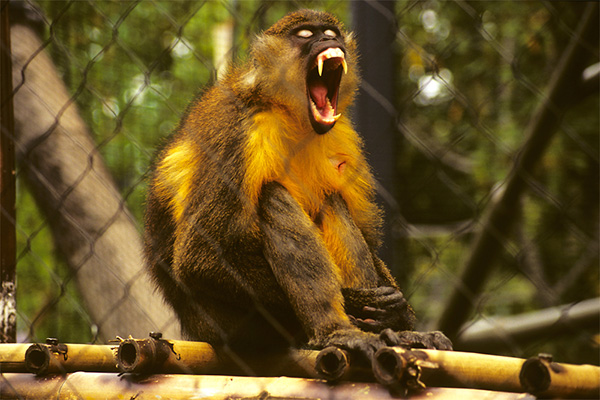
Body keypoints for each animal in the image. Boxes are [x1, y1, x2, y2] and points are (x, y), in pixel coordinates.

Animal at [144, 9, 450, 366]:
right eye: (306, 35)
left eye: (331, 33)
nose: (328, 41)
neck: (291, 113)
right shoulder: (239, 129)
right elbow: (199, 258)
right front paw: (359, 304)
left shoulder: (342, 134)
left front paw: (400, 316)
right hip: (227, 324)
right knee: (271, 196)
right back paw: (336, 331)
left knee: (332, 200)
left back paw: (388, 333)